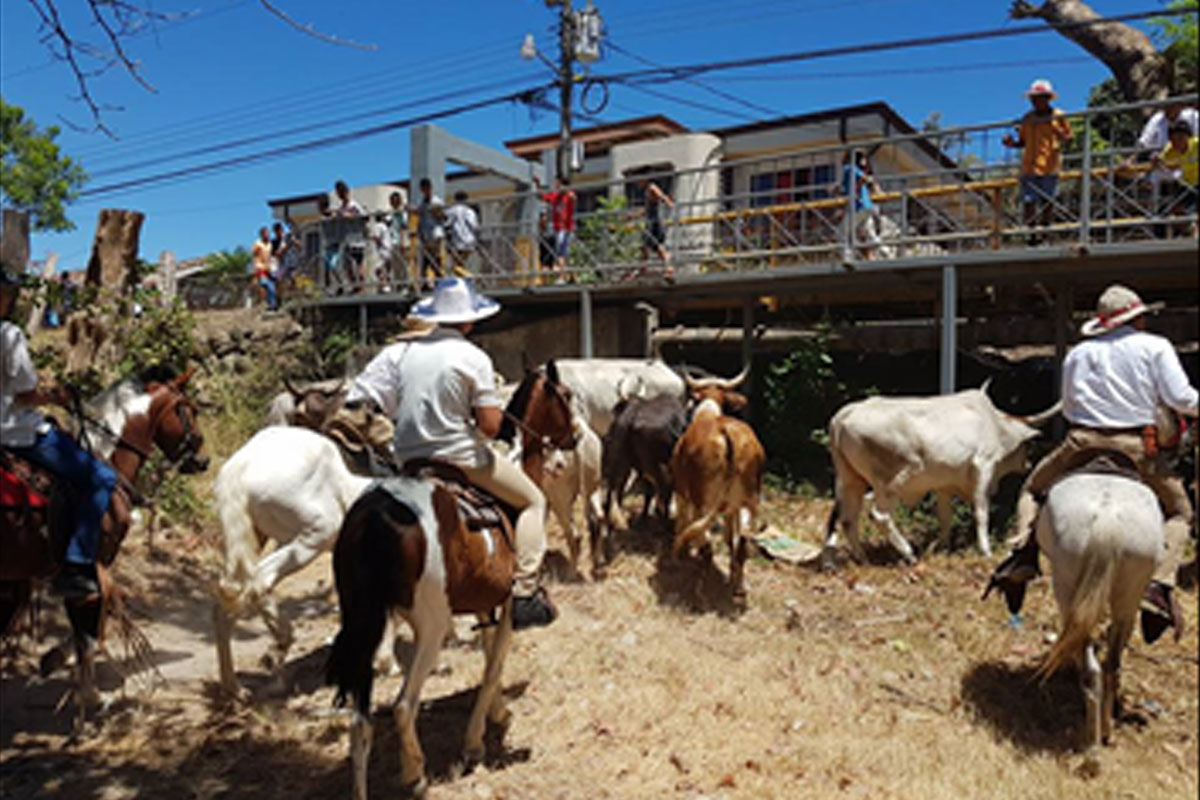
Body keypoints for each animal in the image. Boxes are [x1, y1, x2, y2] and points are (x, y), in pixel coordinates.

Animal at [0, 369, 207, 734]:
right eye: (189, 411)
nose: (203, 459)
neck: (105, 459)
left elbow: (86, 624)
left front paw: (53, 662)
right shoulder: (91, 565)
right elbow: (90, 624)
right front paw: (91, 695)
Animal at [211, 429, 376, 695]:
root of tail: (239, 466)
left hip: (258, 538)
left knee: (229, 597)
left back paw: (235, 688)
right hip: (313, 538)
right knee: (259, 582)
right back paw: (278, 647)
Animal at [326, 362, 573, 800]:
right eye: (567, 397)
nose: (575, 439)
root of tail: (375, 515)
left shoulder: (486, 605)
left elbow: (490, 657)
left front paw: (498, 713)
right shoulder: (507, 605)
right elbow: (492, 667)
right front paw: (475, 743)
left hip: (364, 624)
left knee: (360, 722)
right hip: (432, 625)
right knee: (403, 706)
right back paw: (416, 775)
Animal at [672, 369, 763, 606]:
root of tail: (725, 432)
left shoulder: (682, 494)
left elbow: (682, 523)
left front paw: (679, 553)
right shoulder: (732, 508)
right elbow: (730, 539)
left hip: (704, 505)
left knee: (707, 545)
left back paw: (700, 592)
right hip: (748, 503)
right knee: (741, 544)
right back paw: (739, 587)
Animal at [830, 386, 1056, 563]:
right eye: (1027, 446)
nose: (1028, 465)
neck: (995, 425)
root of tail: (845, 414)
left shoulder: (944, 486)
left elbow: (946, 516)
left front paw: (943, 546)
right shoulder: (984, 467)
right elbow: (981, 513)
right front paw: (986, 551)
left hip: (851, 480)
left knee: (848, 519)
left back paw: (862, 558)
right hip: (893, 481)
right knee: (878, 515)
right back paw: (908, 553)